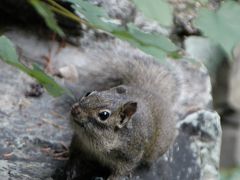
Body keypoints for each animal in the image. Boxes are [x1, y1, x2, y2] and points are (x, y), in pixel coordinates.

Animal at [66, 40, 181, 180]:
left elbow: (122, 171)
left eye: (104, 115)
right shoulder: (79, 141)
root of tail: (153, 92)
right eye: (89, 93)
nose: (75, 110)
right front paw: (71, 168)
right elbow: (74, 154)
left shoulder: (130, 155)